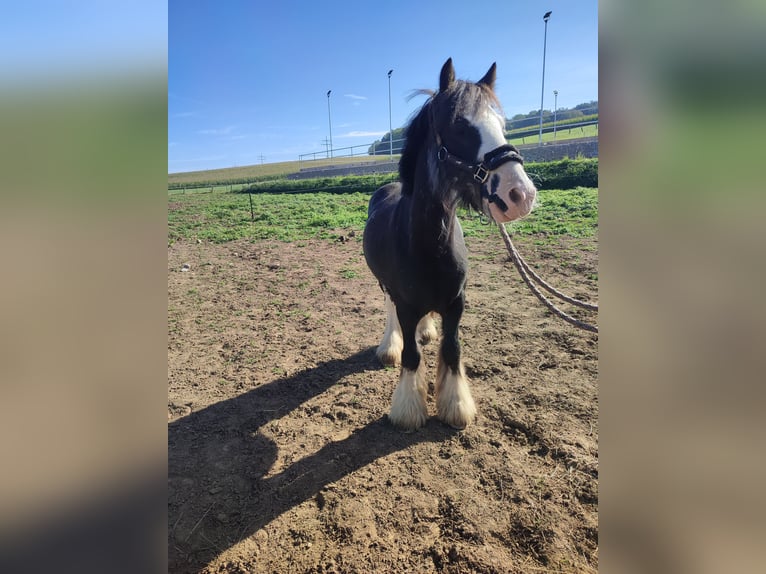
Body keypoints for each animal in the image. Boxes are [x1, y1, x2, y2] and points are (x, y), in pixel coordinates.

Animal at [364, 60, 536, 434]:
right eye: (459, 125)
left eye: (502, 124)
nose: (521, 194)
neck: (430, 243)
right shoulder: (406, 304)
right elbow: (411, 355)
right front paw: (408, 410)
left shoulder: (456, 303)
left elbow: (453, 349)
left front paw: (456, 406)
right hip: (385, 285)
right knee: (389, 311)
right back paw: (390, 346)